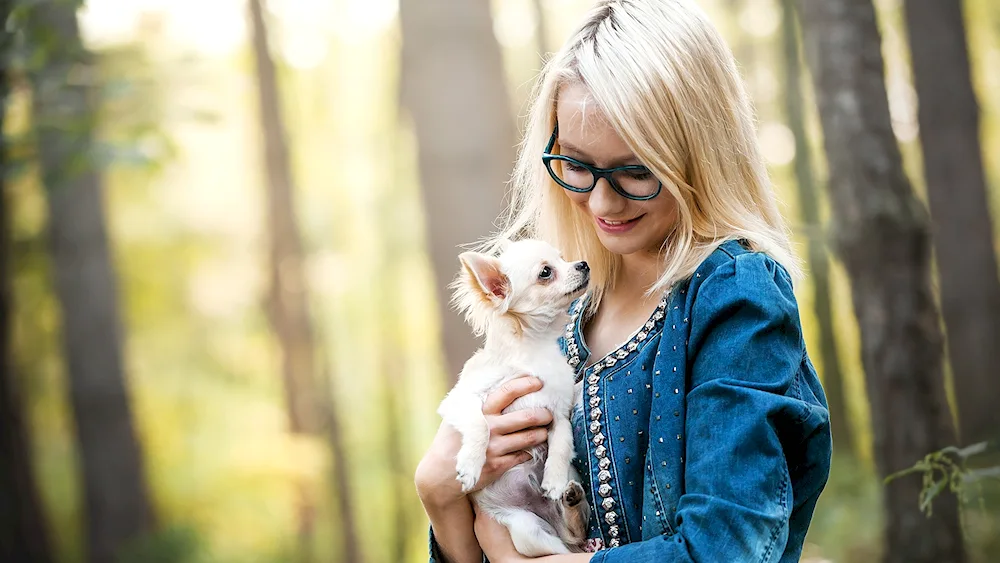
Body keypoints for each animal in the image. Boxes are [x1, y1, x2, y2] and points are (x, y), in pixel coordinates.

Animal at [440, 238, 592, 556]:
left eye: (563, 258)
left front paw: (554, 479)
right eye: (546, 272)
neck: (532, 349)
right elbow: (480, 425)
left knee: (573, 538)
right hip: (527, 530)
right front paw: (471, 465)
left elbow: (562, 442)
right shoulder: (461, 399)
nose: (583, 264)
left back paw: (570, 500)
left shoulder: (558, 412)